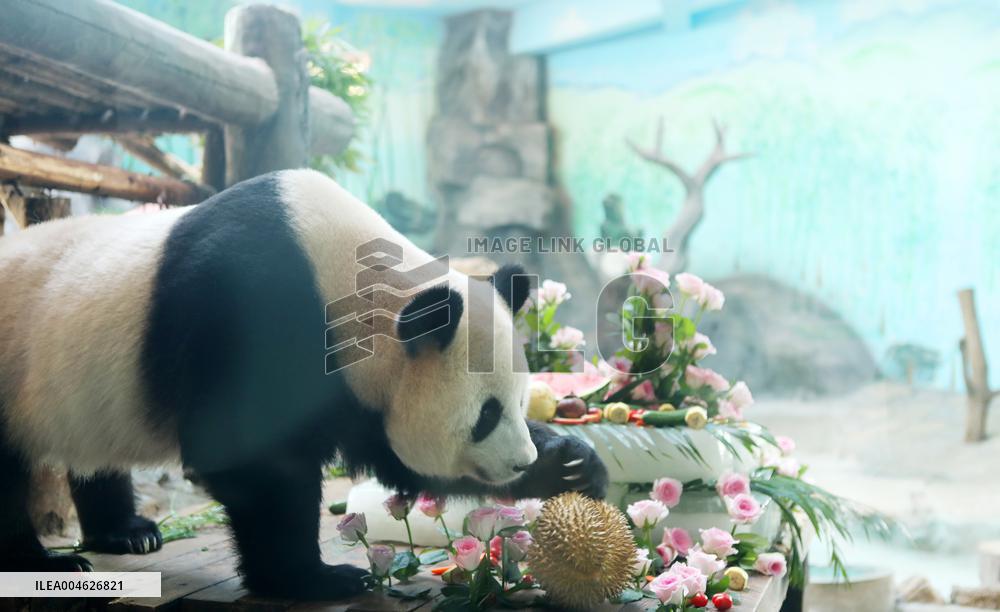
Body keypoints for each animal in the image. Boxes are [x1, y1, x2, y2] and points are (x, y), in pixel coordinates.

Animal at [0, 169, 607, 599]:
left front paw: (571, 463)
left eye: (521, 401)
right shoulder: (248, 310)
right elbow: (249, 458)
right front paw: (312, 579)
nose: (520, 461)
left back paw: (127, 532)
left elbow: (392, 456)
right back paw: (42, 561)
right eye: (485, 415)